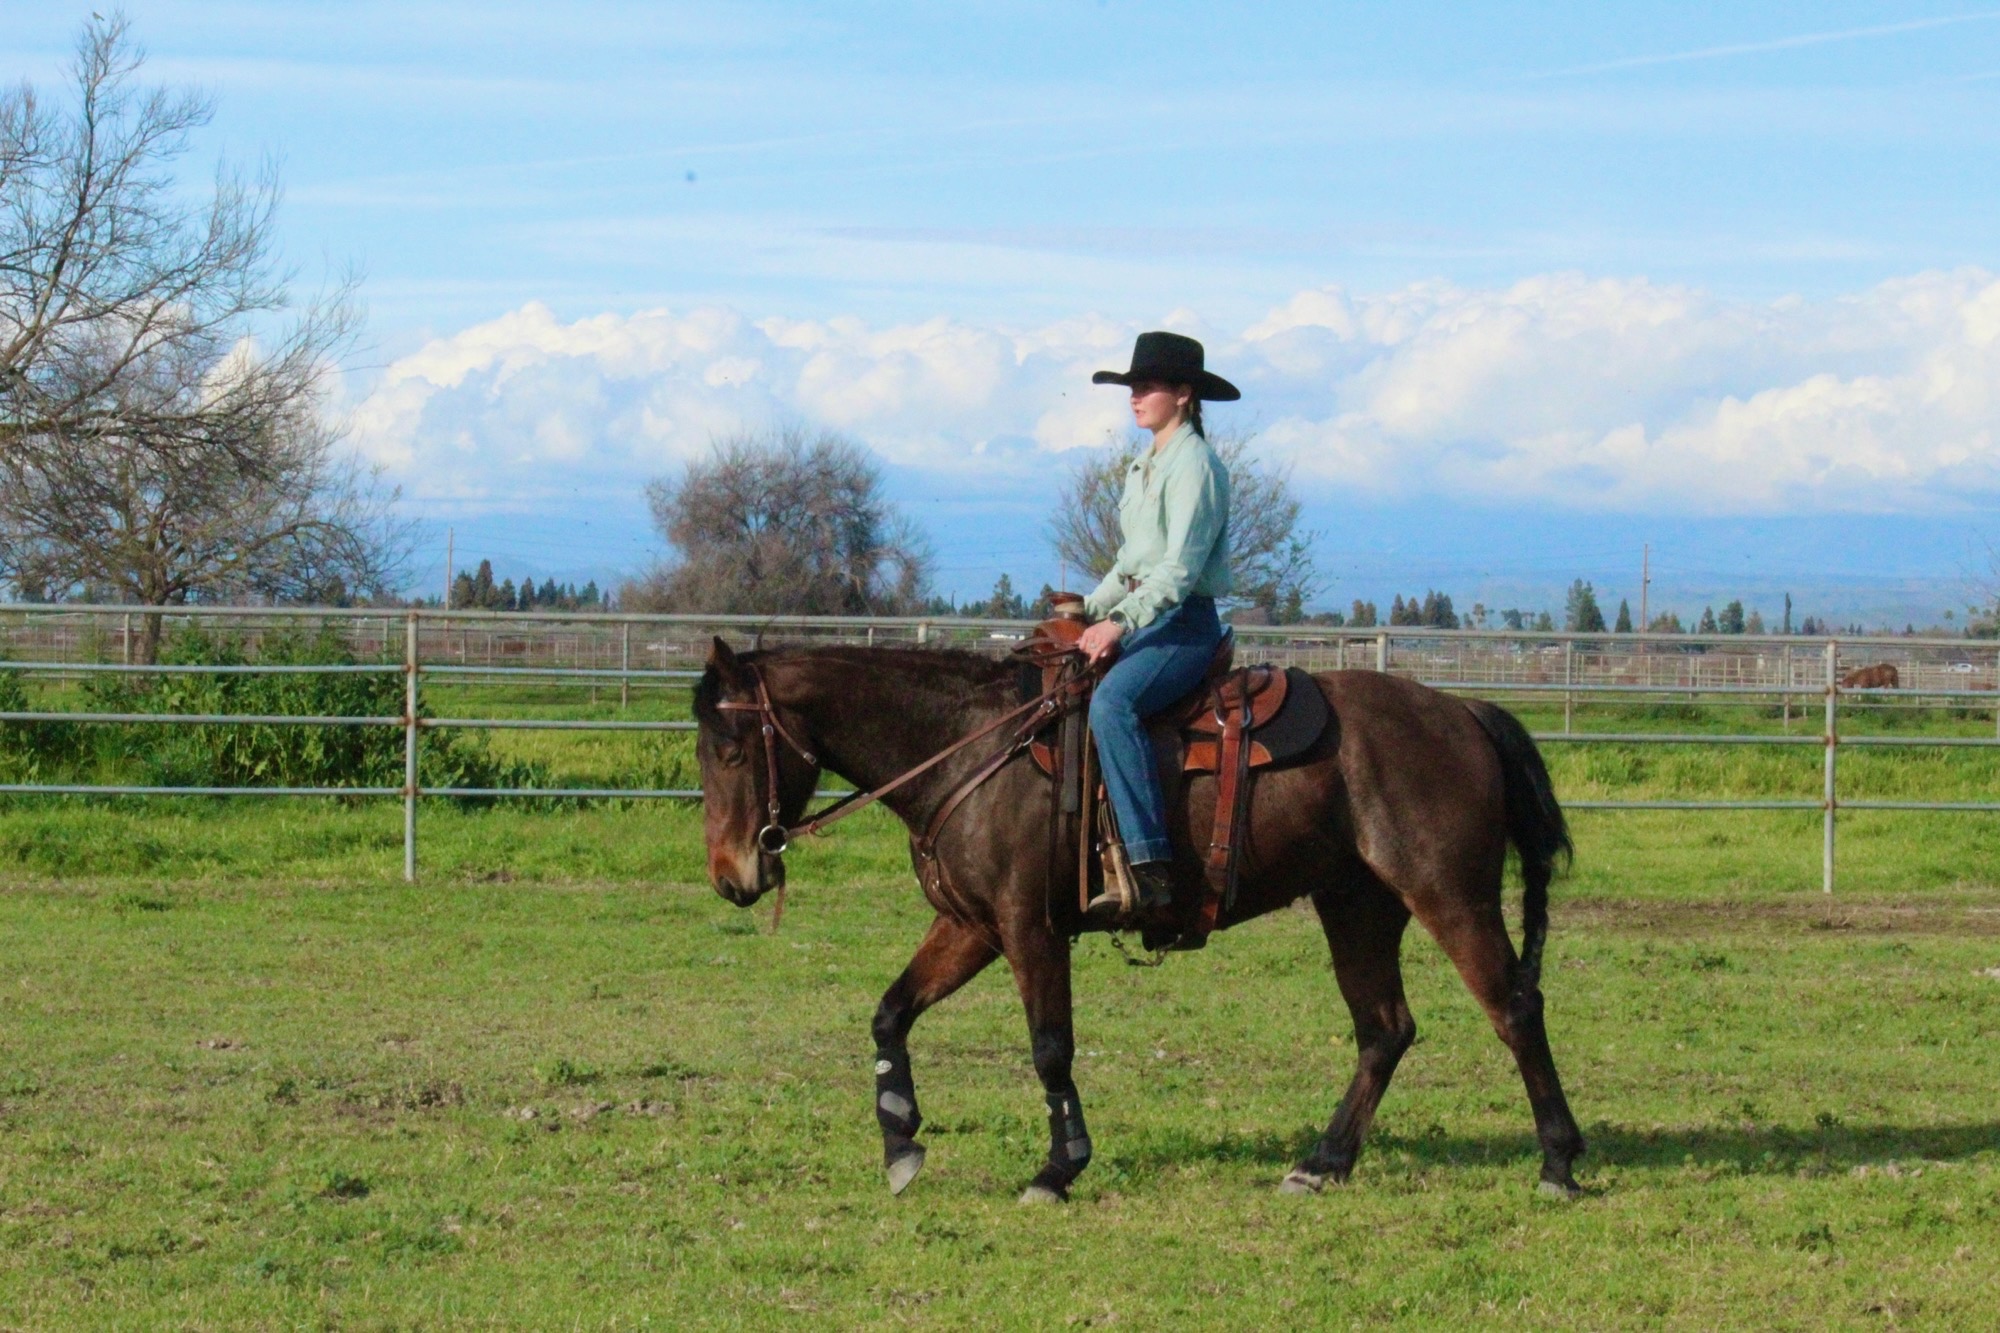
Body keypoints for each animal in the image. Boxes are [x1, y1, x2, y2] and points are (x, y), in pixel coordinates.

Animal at [692, 636, 1586, 1203]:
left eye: (731, 748)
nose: (732, 876)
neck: (968, 749)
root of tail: (1464, 712)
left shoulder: (1030, 928)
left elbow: (1050, 1048)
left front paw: (1058, 1168)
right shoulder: (971, 927)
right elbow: (890, 1015)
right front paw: (902, 1143)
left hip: (1450, 895)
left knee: (1514, 1007)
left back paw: (1558, 1161)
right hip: (1357, 907)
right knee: (1385, 1028)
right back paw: (1324, 1162)